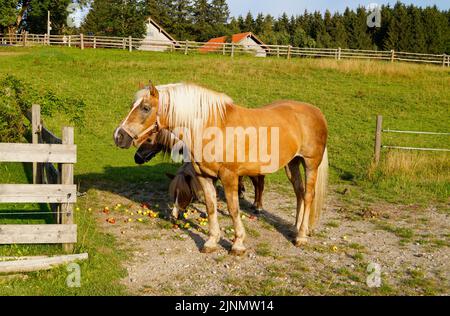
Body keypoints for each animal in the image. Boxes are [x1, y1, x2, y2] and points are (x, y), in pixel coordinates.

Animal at [114, 82, 328, 256]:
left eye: (145, 108)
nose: (119, 136)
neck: (211, 128)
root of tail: (316, 112)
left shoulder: (229, 177)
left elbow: (233, 209)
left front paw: (238, 244)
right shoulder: (204, 176)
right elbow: (211, 207)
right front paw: (211, 242)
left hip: (310, 163)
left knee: (308, 195)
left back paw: (301, 236)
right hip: (292, 164)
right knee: (299, 193)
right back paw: (296, 228)